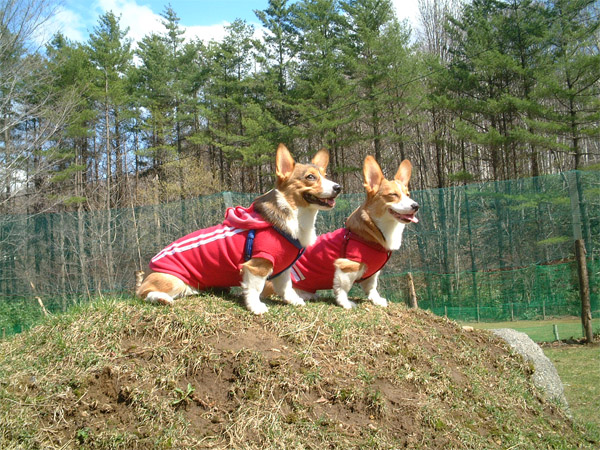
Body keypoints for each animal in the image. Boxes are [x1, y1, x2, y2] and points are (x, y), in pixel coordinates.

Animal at [136, 144, 341, 315]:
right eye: (310, 177)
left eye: (325, 176)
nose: (338, 187)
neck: (296, 216)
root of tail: (148, 269)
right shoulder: (257, 265)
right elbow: (255, 289)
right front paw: (257, 307)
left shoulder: (283, 269)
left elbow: (286, 288)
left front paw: (295, 301)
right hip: (171, 281)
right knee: (143, 293)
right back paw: (161, 298)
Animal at [288, 155, 418, 309]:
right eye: (393, 195)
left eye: (408, 195)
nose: (416, 206)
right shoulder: (348, 265)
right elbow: (342, 288)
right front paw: (345, 303)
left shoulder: (372, 272)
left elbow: (372, 287)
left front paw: (377, 300)